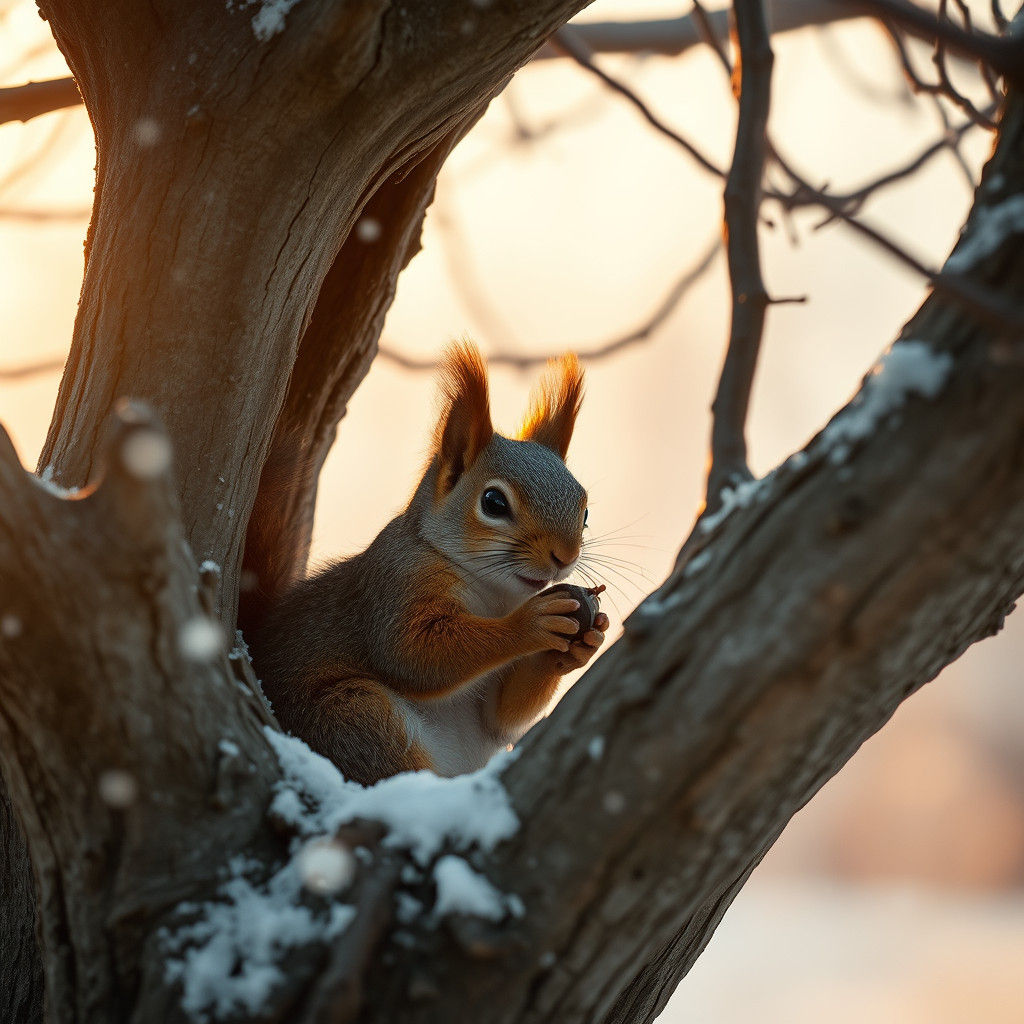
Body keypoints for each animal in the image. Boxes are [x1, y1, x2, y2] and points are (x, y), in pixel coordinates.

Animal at [248, 341, 608, 786]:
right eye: (493, 502)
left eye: (586, 511)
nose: (566, 556)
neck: (494, 594)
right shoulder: (396, 582)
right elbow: (412, 653)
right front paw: (531, 623)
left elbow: (500, 715)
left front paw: (582, 644)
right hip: (353, 714)